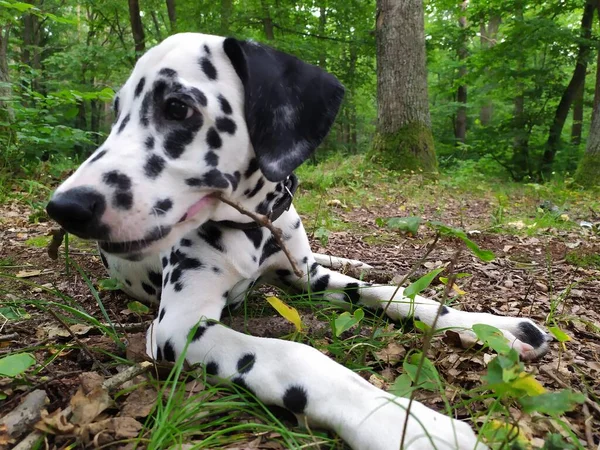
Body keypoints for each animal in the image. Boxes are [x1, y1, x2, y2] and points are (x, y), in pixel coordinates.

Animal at [49, 34, 552, 450]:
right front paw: (407, 425)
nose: (64, 207)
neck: (253, 228)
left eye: (177, 107)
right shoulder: (178, 326)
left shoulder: (307, 278)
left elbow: (394, 294)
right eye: (117, 113)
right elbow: (297, 356)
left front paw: (490, 326)